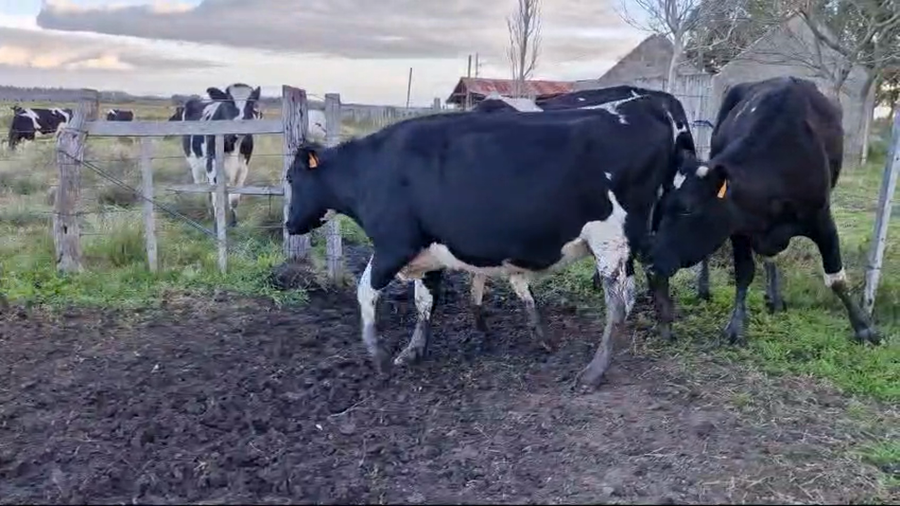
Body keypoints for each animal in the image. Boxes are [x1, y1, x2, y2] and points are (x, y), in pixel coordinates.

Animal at [178, 83, 261, 227]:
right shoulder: (212, 166)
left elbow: (234, 198)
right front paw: (217, 224)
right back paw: (209, 212)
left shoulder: (243, 168)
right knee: (203, 188)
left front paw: (234, 222)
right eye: (228, 101)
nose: (240, 121)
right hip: (195, 164)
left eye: (250, 103)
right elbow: (217, 197)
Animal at [285, 104, 683, 388]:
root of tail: (646, 108)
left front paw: (377, 355)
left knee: (618, 303)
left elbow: (366, 291)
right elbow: (426, 301)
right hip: (637, 237)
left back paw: (594, 372)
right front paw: (414, 350)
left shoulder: (394, 245)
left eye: (291, 178)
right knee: (651, 276)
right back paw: (664, 327)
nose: (289, 225)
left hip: (611, 240)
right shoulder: (428, 251)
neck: (371, 171)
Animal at [647, 76, 880, 346]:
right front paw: (736, 325)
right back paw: (706, 288)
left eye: (688, 209)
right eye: (662, 207)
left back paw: (774, 297)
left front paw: (863, 326)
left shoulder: (822, 220)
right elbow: (744, 273)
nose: (651, 265)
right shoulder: (736, 226)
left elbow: (837, 279)